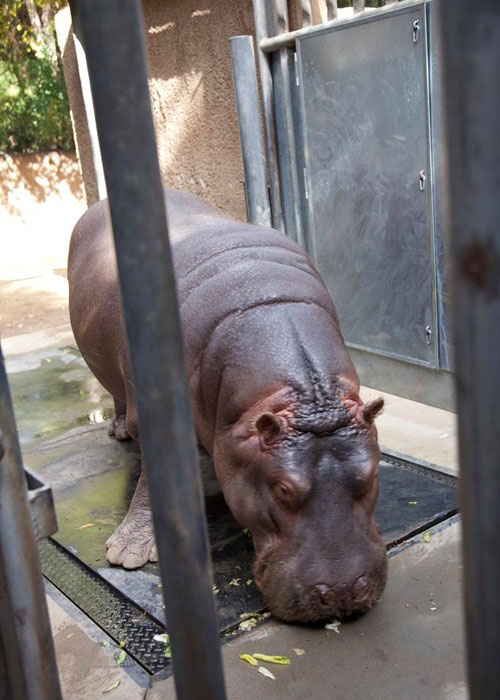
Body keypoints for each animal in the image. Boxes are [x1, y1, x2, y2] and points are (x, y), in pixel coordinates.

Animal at [68, 189, 387, 623]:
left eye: (370, 474)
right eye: (282, 488)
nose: (342, 593)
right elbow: (151, 482)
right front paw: (128, 555)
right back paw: (117, 433)